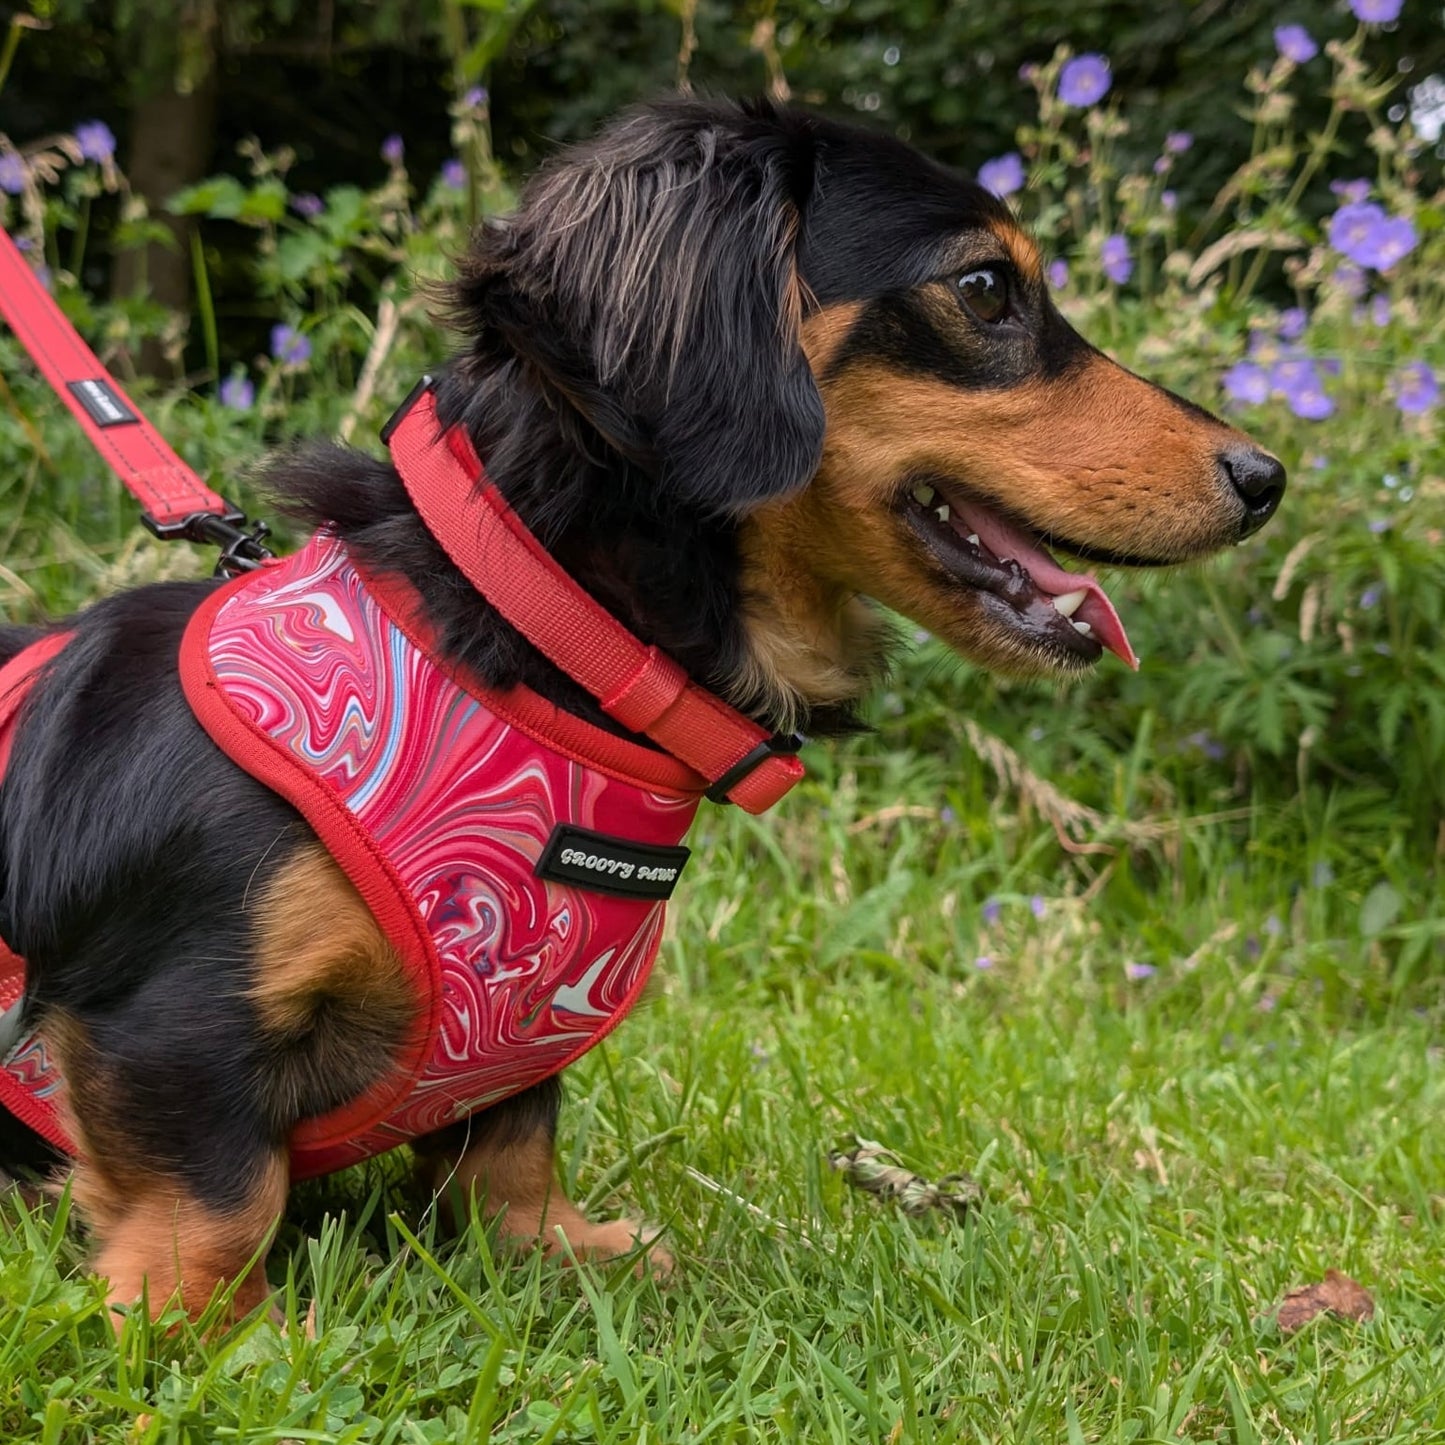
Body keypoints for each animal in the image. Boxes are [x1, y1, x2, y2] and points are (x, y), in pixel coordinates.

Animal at [2, 98, 1288, 1323]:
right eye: (982, 288)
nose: (1265, 477)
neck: (530, 665)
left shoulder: (513, 1038)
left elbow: (509, 1148)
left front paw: (563, 1247)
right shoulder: (166, 1017)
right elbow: (217, 1189)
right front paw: (217, 1323)